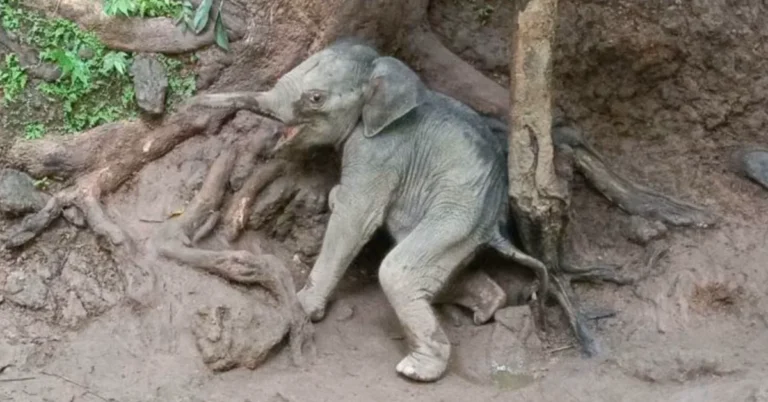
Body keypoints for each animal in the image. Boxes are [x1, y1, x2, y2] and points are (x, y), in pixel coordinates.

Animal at [192, 39, 549, 382]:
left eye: (316, 98)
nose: (192, 102)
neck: (383, 73)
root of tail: (497, 223)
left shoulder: (378, 151)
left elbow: (354, 218)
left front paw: (303, 308)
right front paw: (333, 196)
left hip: (459, 213)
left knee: (397, 271)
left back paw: (416, 370)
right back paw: (486, 308)